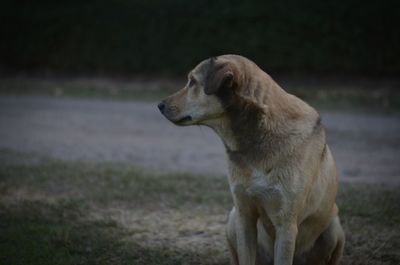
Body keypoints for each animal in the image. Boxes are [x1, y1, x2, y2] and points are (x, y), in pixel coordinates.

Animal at [158, 54, 346, 262]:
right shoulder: (244, 215)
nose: (159, 105)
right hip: (232, 219)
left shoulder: (286, 224)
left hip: (335, 228)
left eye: (192, 81)